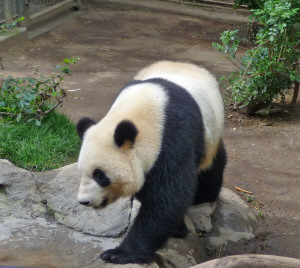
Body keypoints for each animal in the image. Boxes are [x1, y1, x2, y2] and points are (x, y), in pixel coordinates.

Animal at [76, 60, 226, 264]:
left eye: (100, 175)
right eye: (82, 172)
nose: (84, 201)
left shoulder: (174, 136)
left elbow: (168, 196)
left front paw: (119, 253)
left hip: (210, 135)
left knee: (211, 169)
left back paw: (205, 196)